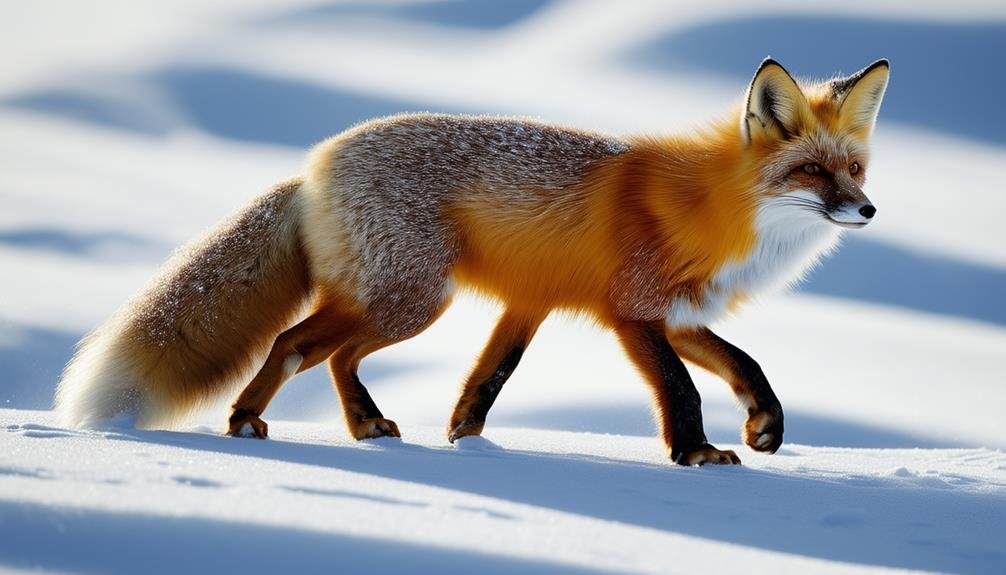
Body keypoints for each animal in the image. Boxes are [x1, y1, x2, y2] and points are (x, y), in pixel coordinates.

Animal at [55, 57, 889, 462]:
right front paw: (698, 453)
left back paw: (363, 427)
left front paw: (765, 428)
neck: (710, 208)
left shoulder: (665, 313)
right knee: (295, 342)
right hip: (413, 301)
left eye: (854, 169)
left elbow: (746, 364)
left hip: (399, 303)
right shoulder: (633, 313)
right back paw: (246, 422)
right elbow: (681, 388)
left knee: (331, 354)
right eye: (811, 173)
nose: (868, 211)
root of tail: (314, 164)